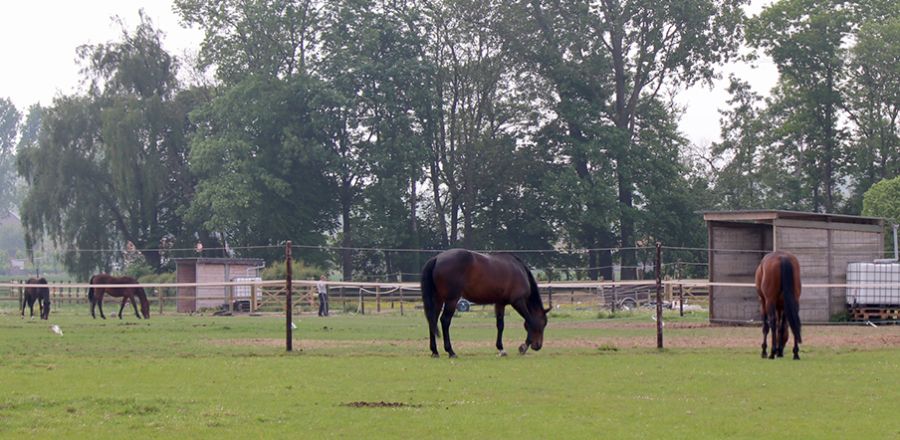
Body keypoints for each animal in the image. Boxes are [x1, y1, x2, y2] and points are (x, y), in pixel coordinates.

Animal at [420, 248, 548, 358]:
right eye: (542, 324)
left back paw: (435, 351)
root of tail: (437, 258)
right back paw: (451, 351)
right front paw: (524, 346)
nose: (538, 346)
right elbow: (530, 320)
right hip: (451, 300)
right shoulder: (518, 301)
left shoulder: (500, 303)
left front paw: (501, 349)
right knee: (445, 321)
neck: (519, 270)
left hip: (438, 299)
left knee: (433, 320)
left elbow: (500, 325)